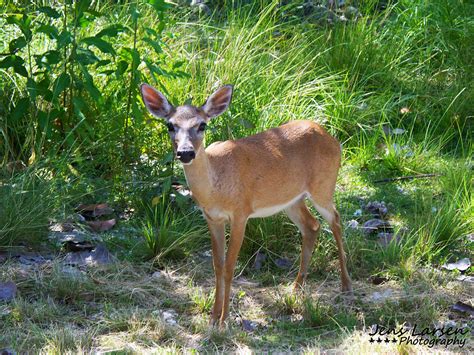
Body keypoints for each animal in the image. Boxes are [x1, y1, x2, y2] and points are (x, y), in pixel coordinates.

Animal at [140, 83, 352, 328]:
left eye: (202, 125)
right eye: (170, 125)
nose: (185, 152)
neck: (216, 187)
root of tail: (333, 138)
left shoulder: (241, 213)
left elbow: (230, 267)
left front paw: (224, 320)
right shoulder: (212, 218)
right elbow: (217, 266)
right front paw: (213, 317)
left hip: (323, 186)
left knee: (336, 220)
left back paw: (346, 285)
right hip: (292, 199)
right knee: (312, 226)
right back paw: (296, 288)